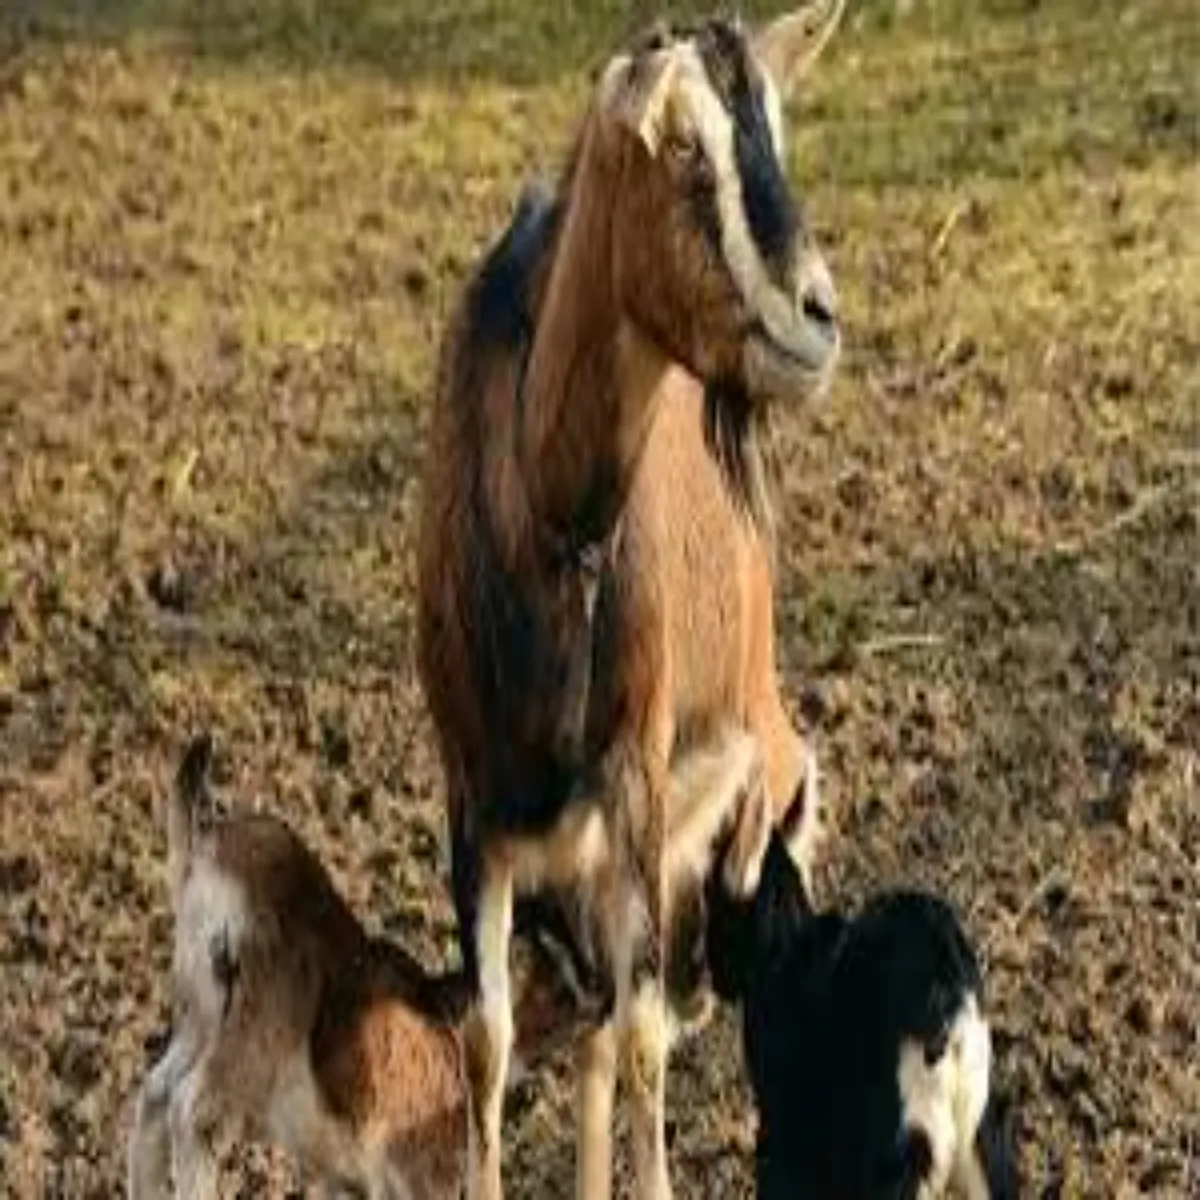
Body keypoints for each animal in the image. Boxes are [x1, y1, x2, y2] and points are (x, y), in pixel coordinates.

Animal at [127, 736, 593, 1200]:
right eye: (558, 951)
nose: (601, 1000)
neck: (453, 1025)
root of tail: (208, 842)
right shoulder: (423, 1177)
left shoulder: (342, 1180)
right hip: (254, 1031)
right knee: (190, 1108)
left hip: (200, 1013)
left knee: (155, 1097)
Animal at [415, 5, 845, 1196]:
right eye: (686, 149)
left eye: (778, 132)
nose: (818, 317)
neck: (548, 528)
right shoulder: (472, 796)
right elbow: (488, 1038)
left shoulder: (640, 780)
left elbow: (643, 1033)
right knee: (598, 1024)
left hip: (738, 813)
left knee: (634, 1019)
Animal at [706, 805, 1021, 1199]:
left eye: (721, 912)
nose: (710, 972)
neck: (788, 945)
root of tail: (946, 979)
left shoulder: (789, 1122)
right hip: (980, 1134)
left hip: (903, 1145)